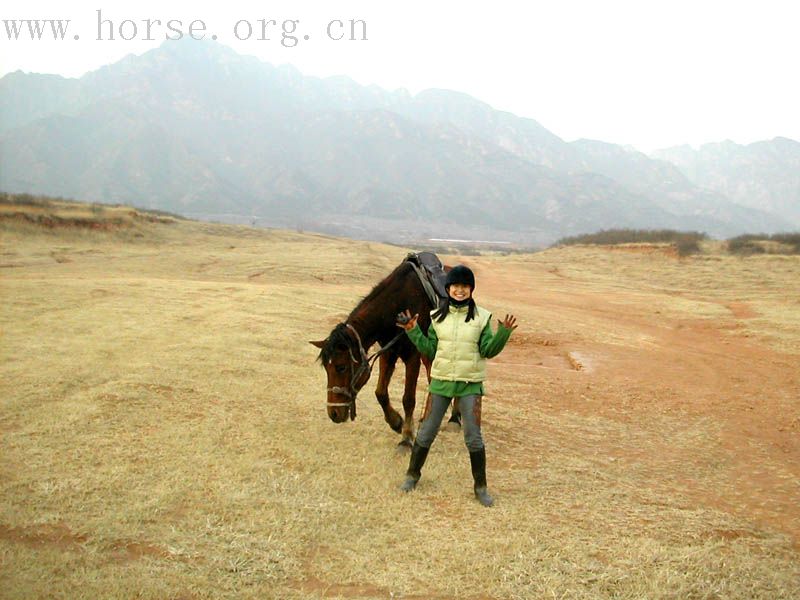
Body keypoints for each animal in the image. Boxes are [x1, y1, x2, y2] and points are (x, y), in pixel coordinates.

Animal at [310, 253, 456, 446]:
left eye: (341, 367)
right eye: (326, 368)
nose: (333, 414)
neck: (395, 307)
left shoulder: (412, 356)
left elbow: (408, 399)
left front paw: (406, 437)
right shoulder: (388, 352)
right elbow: (380, 393)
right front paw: (396, 422)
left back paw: (455, 419)